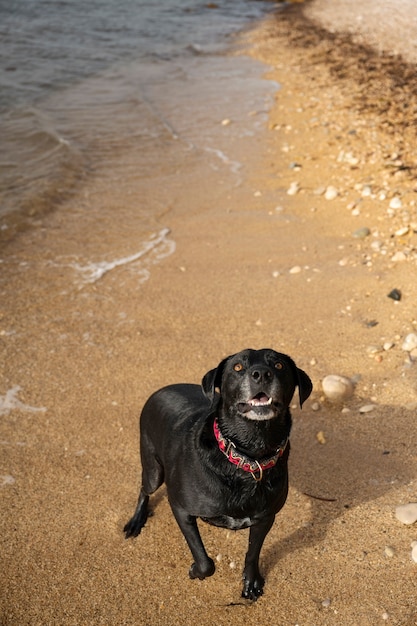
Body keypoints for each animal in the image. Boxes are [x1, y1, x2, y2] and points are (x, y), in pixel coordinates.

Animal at [125, 348, 310, 596]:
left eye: (279, 365)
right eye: (238, 367)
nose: (261, 374)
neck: (248, 457)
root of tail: (160, 390)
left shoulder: (265, 517)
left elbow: (252, 553)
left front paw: (251, 583)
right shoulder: (181, 509)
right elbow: (205, 562)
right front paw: (195, 571)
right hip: (153, 467)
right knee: (145, 489)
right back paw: (136, 521)